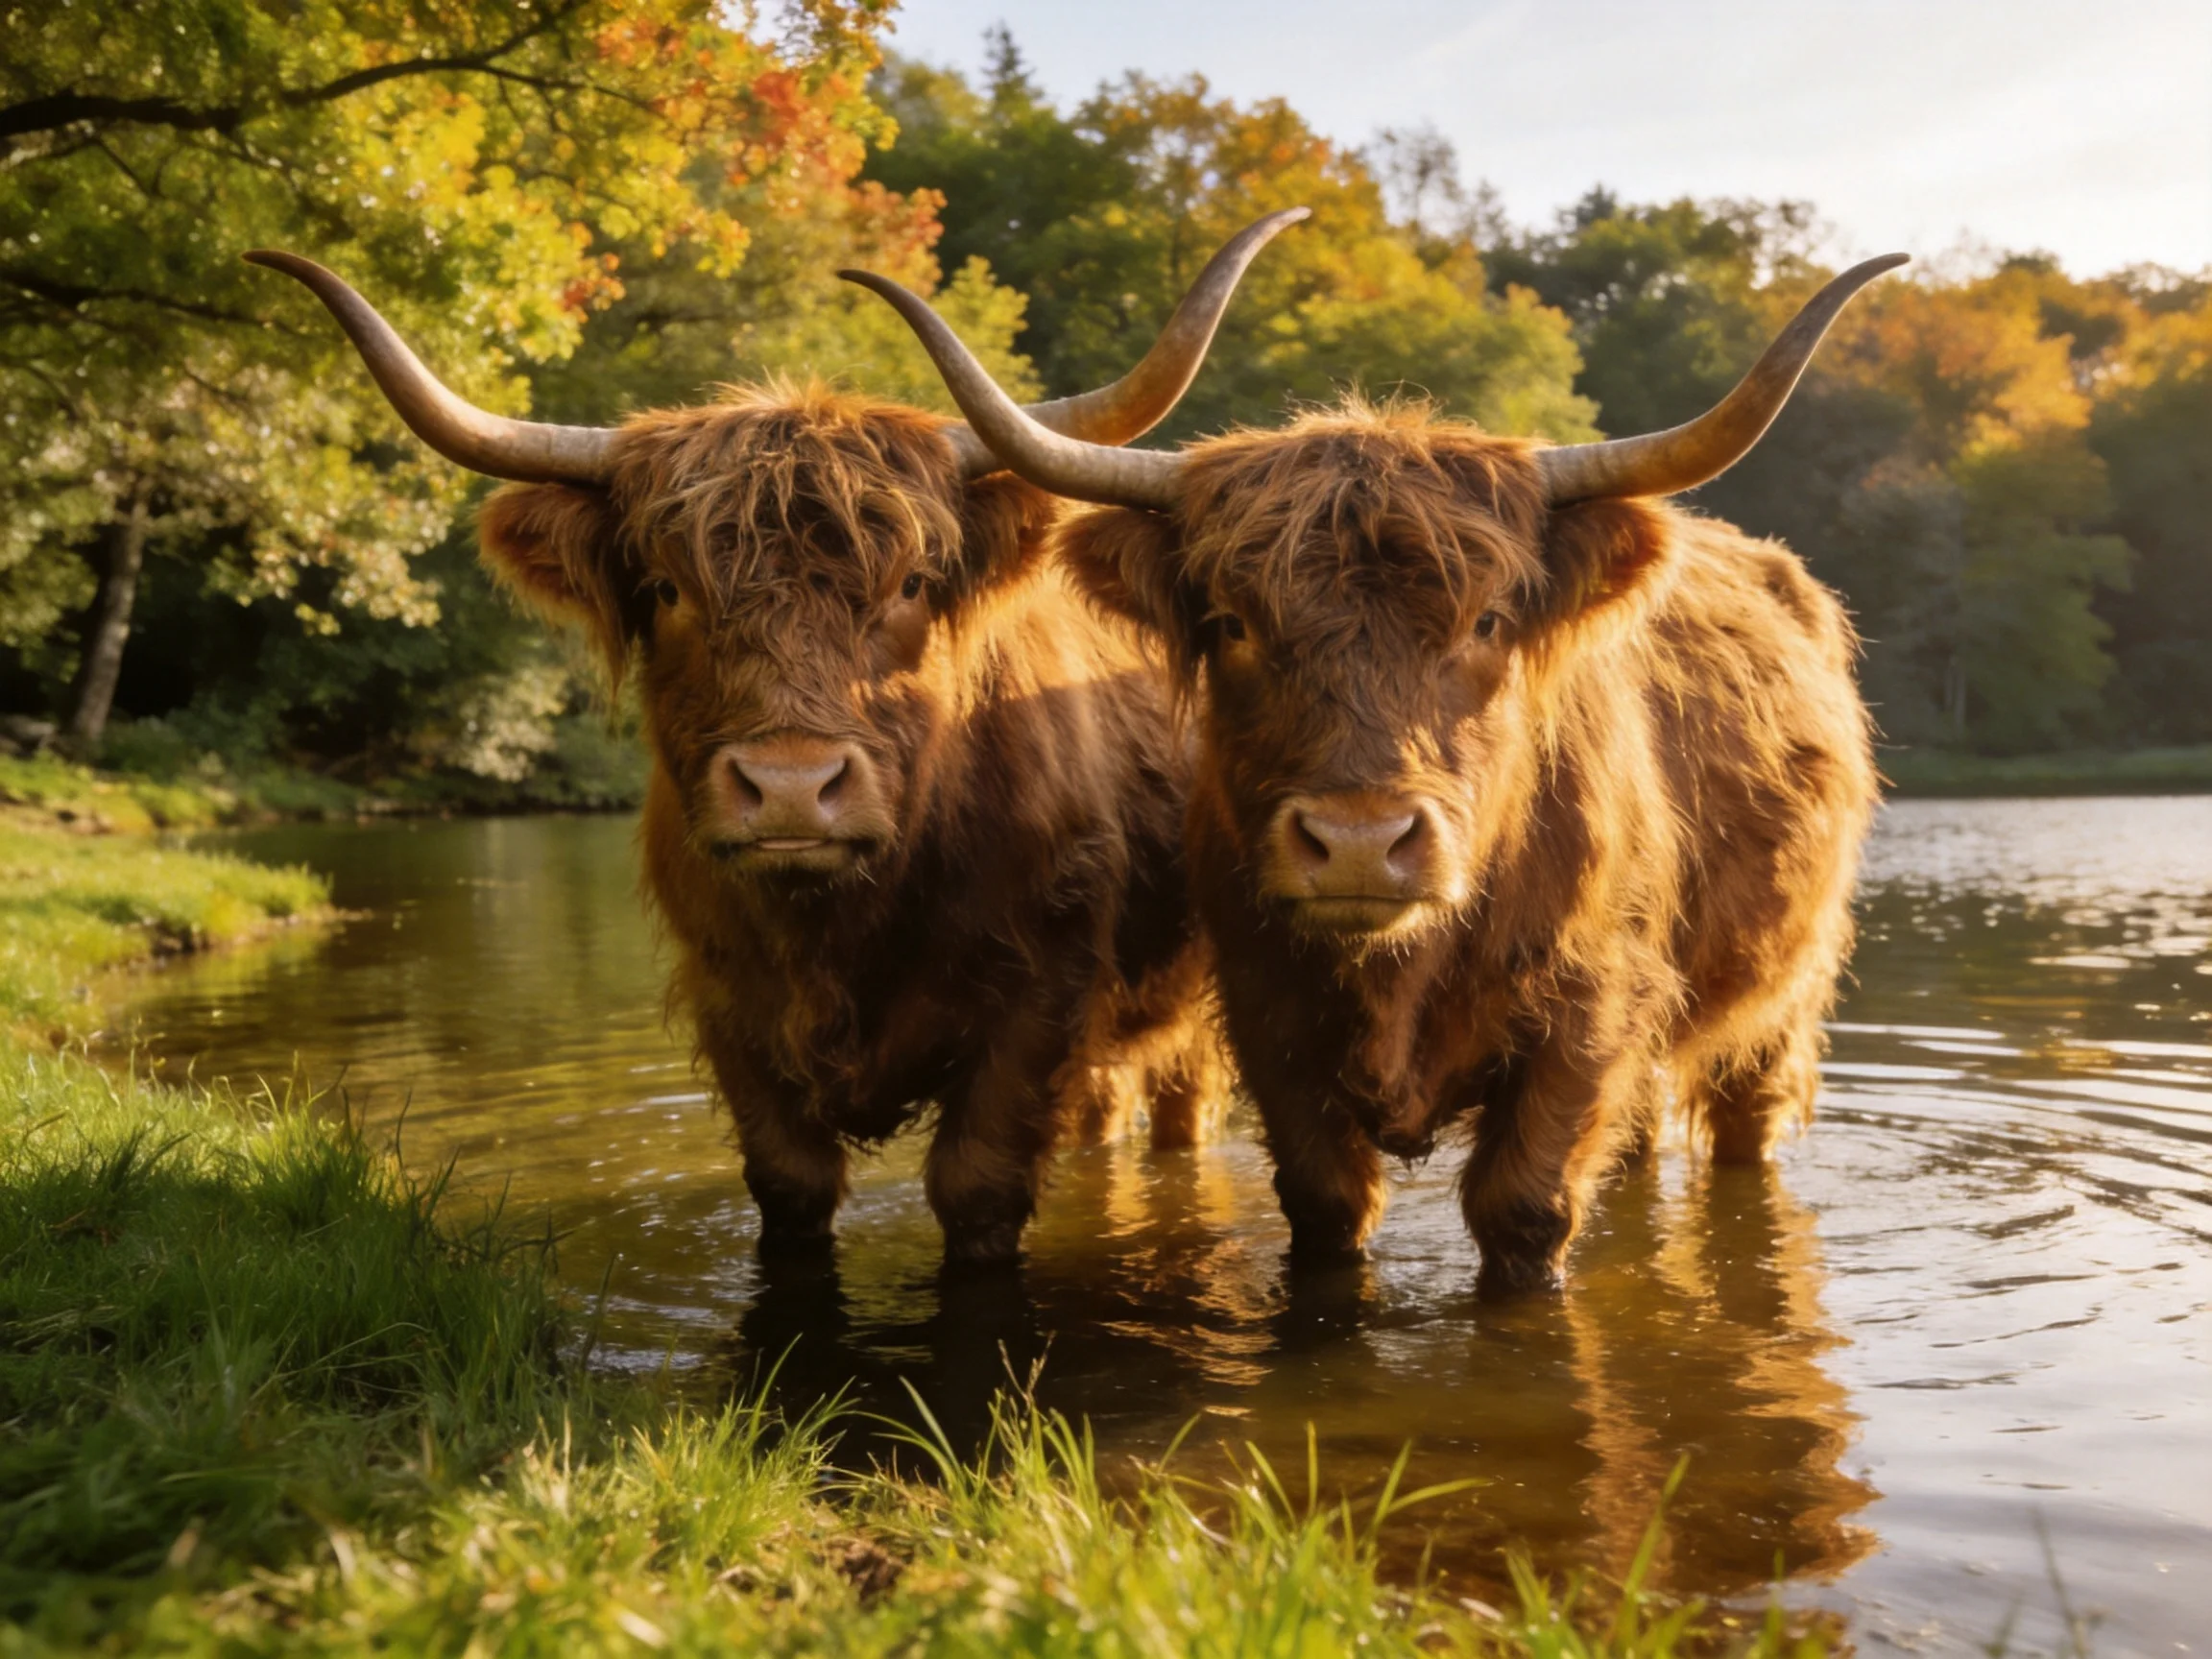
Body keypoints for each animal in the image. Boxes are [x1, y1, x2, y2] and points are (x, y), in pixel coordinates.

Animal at [248, 211, 1306, 1265]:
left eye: (912, 584)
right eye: (667, 589)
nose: (792, 787)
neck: (841, 924)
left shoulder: (1038, 997)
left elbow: (977, 1189)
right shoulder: (730, 1006)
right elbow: (790, 1187)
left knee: (1178, 1112)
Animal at [857, 253, 1901, 1294]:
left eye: (1488, 621)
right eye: (1233, 623)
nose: (1361, 842)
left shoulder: (1586, 1015)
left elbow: (1525, 1211)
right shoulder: (1268, 1015)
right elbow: (1326, 1206)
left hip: (1782, 998)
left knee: (1743, 1119)